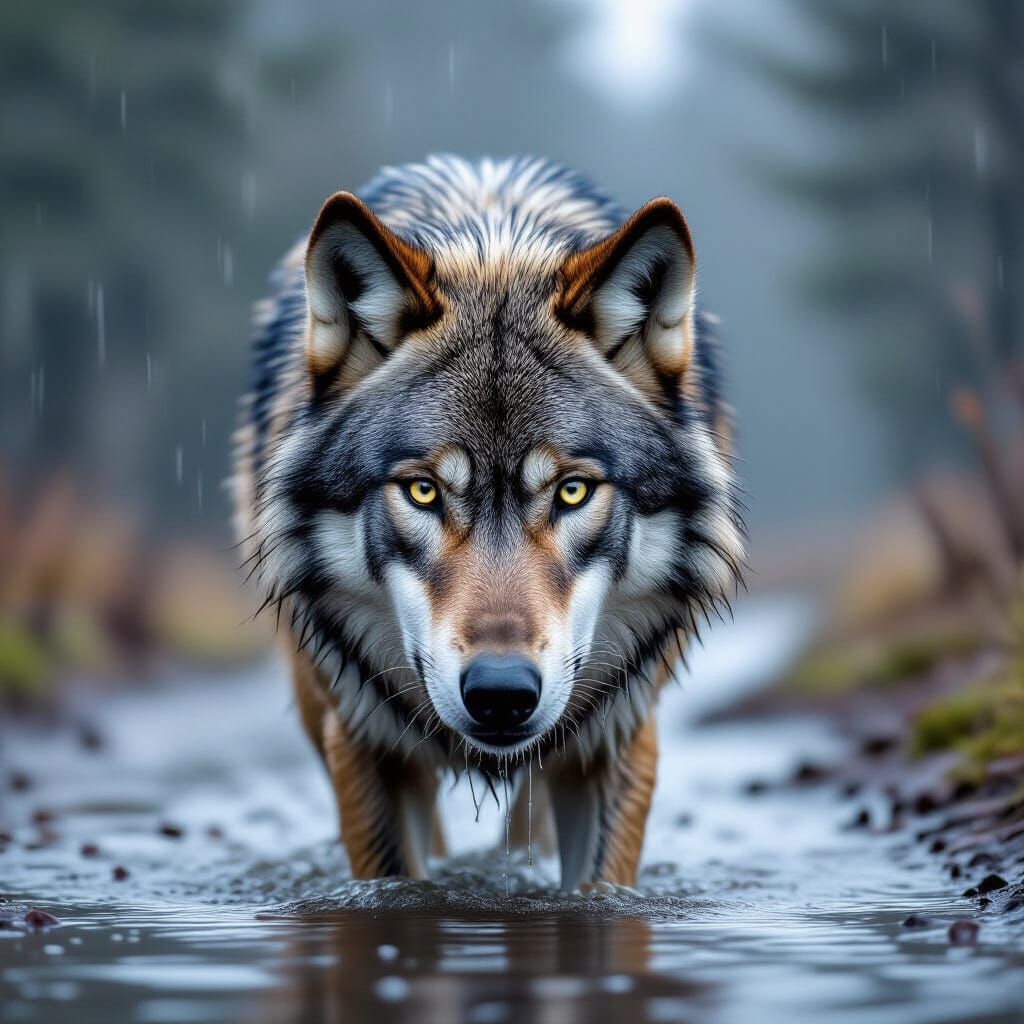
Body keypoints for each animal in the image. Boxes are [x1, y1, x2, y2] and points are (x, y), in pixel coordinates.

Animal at [234, 155, 744, 890]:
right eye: (423, 491)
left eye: (571, 491)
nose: (501, 694)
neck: (493, 244)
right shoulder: (358, 740)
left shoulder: (619, 733)